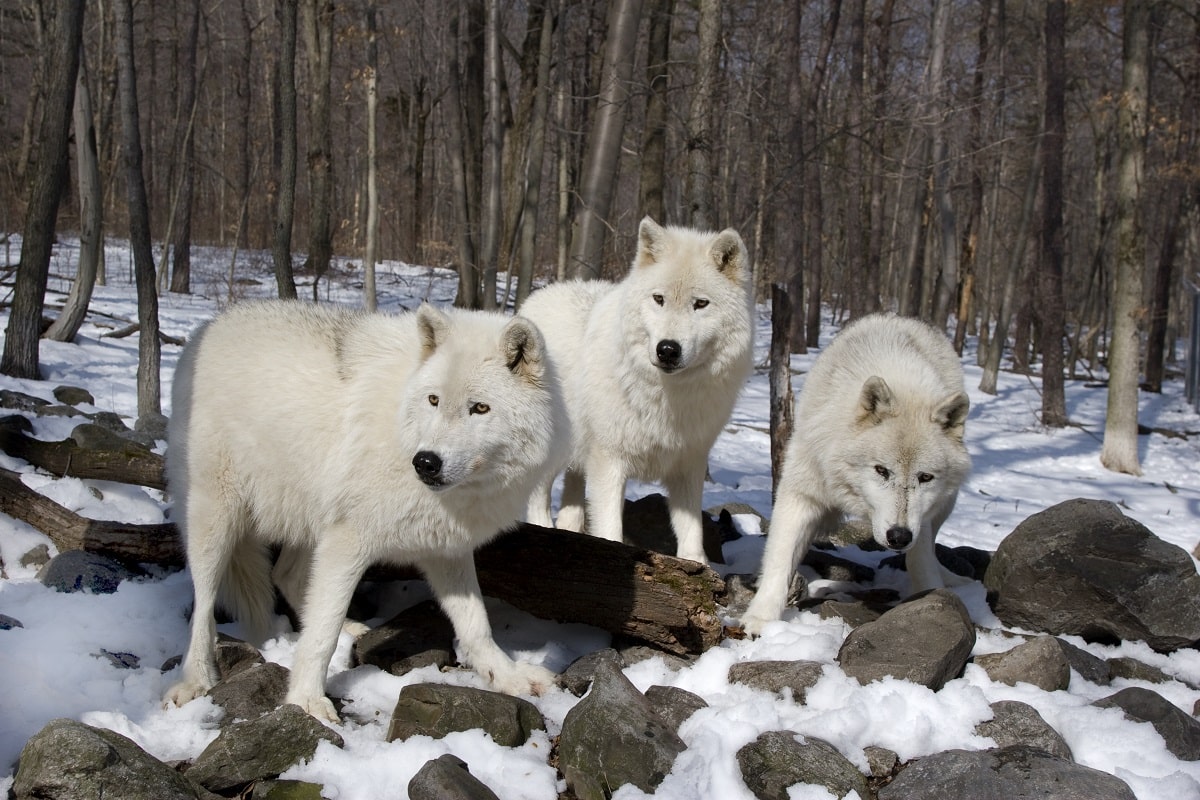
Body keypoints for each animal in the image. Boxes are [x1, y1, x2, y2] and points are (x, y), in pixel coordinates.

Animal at [163, 302, 566, 724]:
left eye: (480, 408)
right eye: (434, 400)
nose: (425, 462)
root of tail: (210, 325)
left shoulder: (446, 549)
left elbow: (476, 625)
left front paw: (507, 676)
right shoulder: (348, 542)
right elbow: (321, 635)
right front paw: (306, 700)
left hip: (311, 520)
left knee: (286, 576)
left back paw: (353, 629)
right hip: (215, 521)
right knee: (205, 602)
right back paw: (195, 681)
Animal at [520, 214, 753, 563]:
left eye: (700, 304)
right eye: (659, 299)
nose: (667, 349)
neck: (667, 396)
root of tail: (536, 298)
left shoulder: (689, 463)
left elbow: (691, 530)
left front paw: (696, 565)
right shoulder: (610, 461)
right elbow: (610, 530)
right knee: (537, 499)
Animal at [739, 311, 974, 633]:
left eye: (925, 477)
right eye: (881, 471)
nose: (898, 536)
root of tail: (902, 317)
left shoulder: (919, 521)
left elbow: (922, 562)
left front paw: (935, 602)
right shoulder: (800, 493)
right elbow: (780, 557)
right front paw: (761, 618)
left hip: (944, 505)